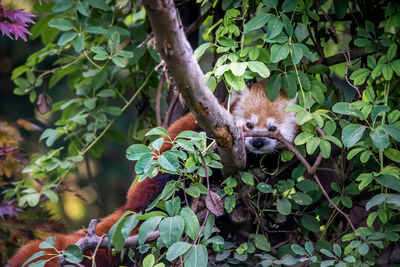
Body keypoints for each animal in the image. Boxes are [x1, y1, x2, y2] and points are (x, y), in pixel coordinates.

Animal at [8, 81, 296, 267]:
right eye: (249, 125)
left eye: (272, 128)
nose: (257, 142)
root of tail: (131, 205)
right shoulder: (204, 131)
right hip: (157, 175)